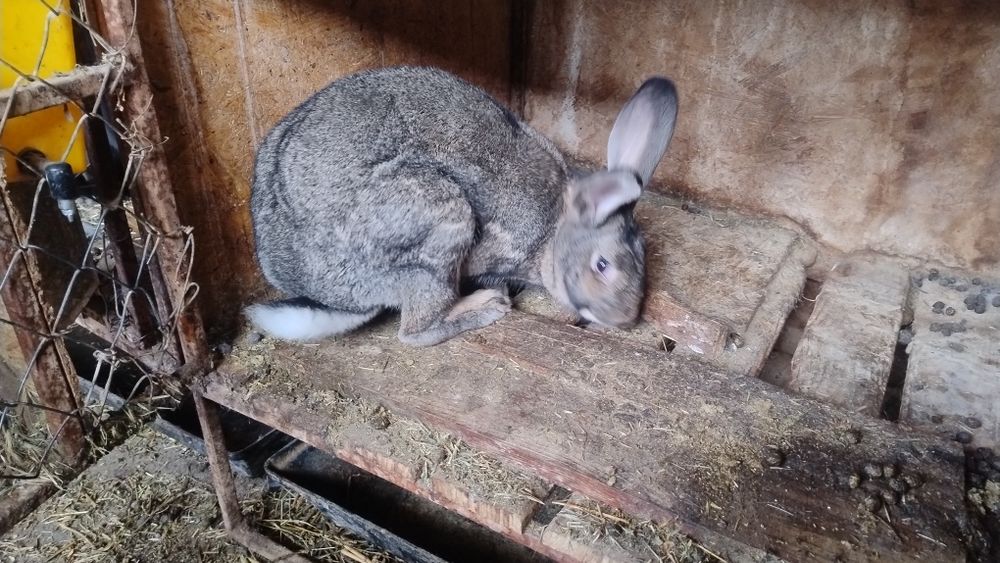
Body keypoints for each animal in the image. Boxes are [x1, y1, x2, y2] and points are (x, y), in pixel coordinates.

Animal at [247, 66, 677, 346]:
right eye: (602, 266)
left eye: (645, 259)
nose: (625, 319)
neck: (553, 232)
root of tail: (331, 295)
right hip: (439, 225)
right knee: (415, 332)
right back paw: (487, 307)